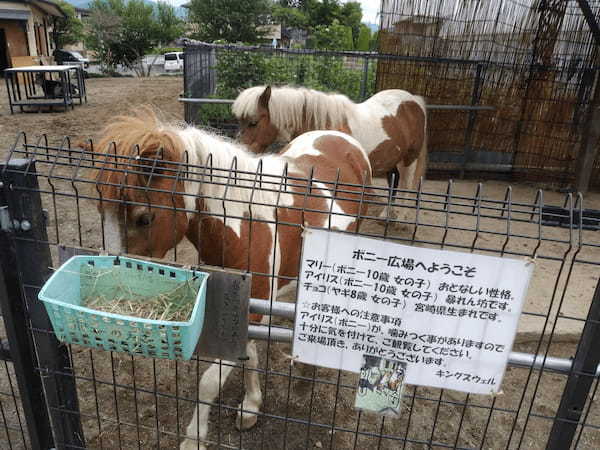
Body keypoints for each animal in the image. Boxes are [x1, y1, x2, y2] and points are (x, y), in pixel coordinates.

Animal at [89, 110, 372, 450]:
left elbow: (210, 381)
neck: (245, 227)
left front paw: (194, 438)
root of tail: (340, 136)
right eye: (100, 210)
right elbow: (249, 355)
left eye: (144, 218)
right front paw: (251, 406)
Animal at [232, 86, 428, 213]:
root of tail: (414, 100)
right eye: (238, 121)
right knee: (395, 181)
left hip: (409, 159)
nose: (240, 148)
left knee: (406, 185)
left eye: (253, 122)